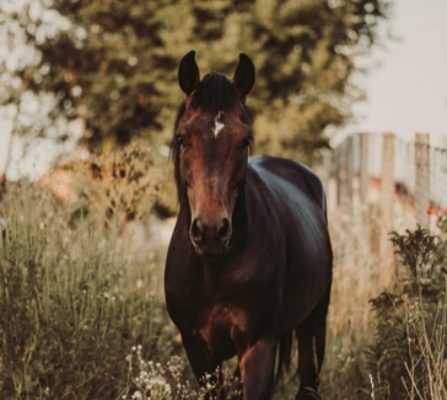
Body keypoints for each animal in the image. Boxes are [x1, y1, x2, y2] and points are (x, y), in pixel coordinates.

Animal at [164, 50, 332, 400]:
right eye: (182, 138)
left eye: (245, 140)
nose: (211, 231)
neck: (214, 269)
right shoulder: (198, 350)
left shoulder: (259, 346)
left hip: (314, 323)